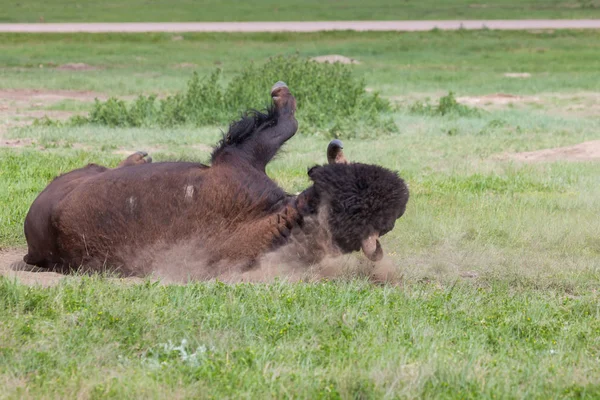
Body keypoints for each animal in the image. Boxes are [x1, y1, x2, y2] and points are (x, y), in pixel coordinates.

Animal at [23, 81, 408, 278]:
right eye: (353, 176)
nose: (404, 196)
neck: (283, 219)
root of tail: (35, 250)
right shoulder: (241, 162)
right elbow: (284, 126)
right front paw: (281, 93)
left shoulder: (235, 163)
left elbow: (282, 125)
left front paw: (280, 93)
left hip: (83, 175)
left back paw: (140, 157)